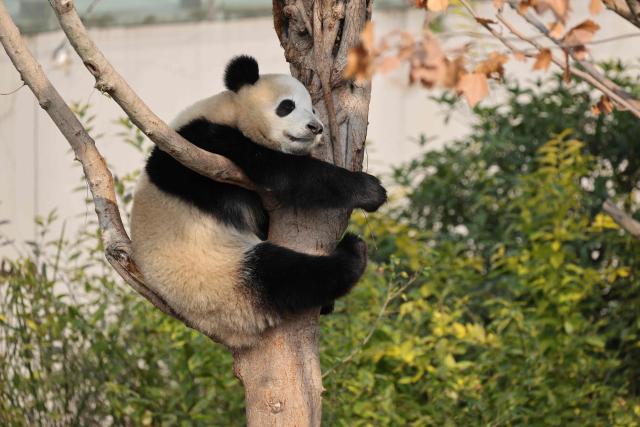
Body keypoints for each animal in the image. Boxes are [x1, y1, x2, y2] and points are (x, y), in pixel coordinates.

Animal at [130, 55, 386, 348]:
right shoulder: (205, 143)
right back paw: (352, 253)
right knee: (284, 275)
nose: (316, 128)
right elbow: (282, 171)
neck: (231, 109)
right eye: (287, 106)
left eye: (313, 108)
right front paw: (370, 190)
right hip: (219, 277)